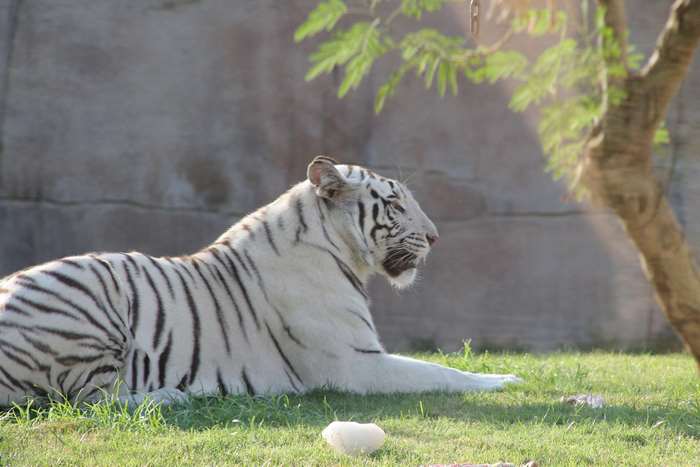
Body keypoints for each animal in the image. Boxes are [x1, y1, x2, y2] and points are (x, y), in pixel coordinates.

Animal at [0, 156, 521, 406]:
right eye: (394, 204)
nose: (435, 237)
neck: (337, 247)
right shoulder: (356, 364)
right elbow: (439, 371)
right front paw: (505, 379)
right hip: (93, 303)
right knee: (93, 400)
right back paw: (175, 395)